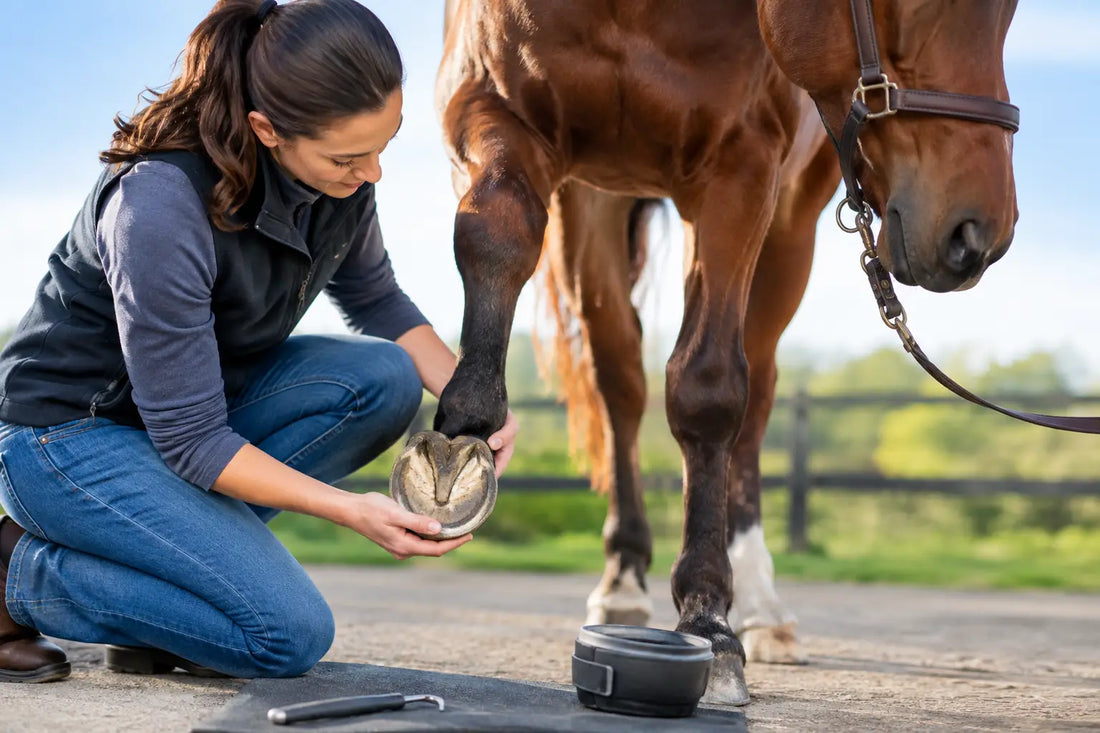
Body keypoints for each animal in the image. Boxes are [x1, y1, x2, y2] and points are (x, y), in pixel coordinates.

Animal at [404, 0, 1019, 705]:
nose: (979, 234)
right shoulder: (492, 110)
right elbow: (496, 233)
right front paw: (460, 441)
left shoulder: (739, 169)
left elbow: (708, 390)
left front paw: (709, 621)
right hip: (600, 204)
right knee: (621, 380)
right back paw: (623, 580)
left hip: (789, 226)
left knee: (754, 393)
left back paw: (759, 604)